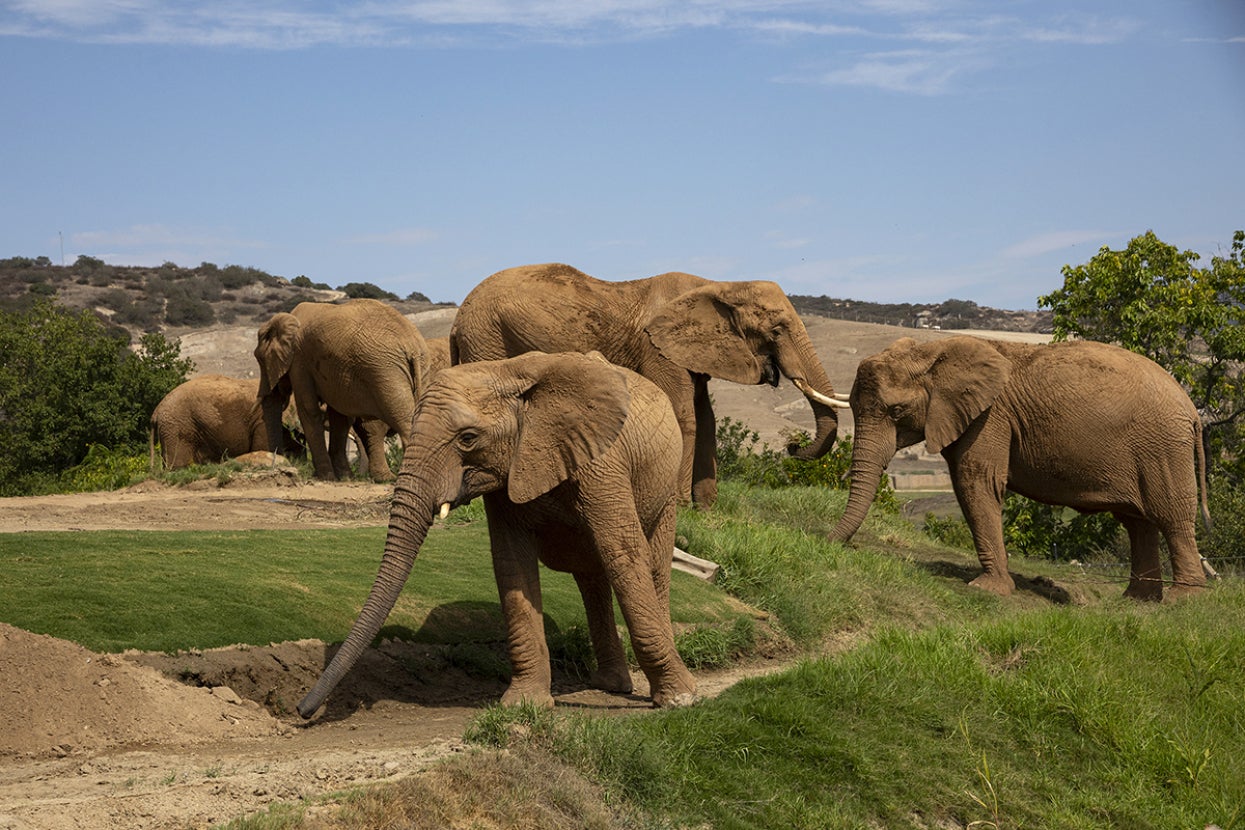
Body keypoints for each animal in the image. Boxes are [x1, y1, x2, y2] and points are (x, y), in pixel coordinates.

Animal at [255, 299, 430, 482]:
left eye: (259, 359)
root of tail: (412, 347)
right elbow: (339, 418)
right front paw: (345, 477)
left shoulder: (299, 362)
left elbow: (309, 410)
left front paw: (325, 477)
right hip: (417, 369)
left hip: (385, 372)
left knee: (403, 422)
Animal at [296, 350, 698, 718]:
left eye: (468, 438)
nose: (303, 710)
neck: (508, 373)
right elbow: (512, 564)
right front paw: (523, 705)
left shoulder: (602, 461)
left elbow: (623, 554)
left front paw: (679, 700)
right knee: (591, 578)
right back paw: (609, 684)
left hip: (664, 488)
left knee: (651, 566)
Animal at [449, 263, 847, 507]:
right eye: (776, 331)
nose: (792, 445)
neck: (718, 285)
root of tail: (458, 316)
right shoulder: (657, 349)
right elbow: (685, 416)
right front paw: (683, 507)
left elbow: (707, 420)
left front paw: (707, 512)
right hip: (488, 337)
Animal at [828, 335, 1211, 601]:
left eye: (896, 411)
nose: (827, 542)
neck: (932, 351)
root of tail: (1191, 409)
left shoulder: (990, 417)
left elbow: (975, 482)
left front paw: (986, 589)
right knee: (1137, 523)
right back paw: (1137, 601)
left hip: (1162, 447)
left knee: (1170, 516)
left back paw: (1182, 600)